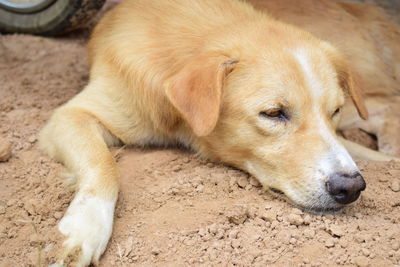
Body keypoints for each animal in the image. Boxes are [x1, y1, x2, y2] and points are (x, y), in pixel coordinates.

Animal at [38, 0, 400, 266]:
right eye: (274, 113)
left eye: (332, 111)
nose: (350, 187)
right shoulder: (71, 114)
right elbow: (104, 164)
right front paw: (83, 229)